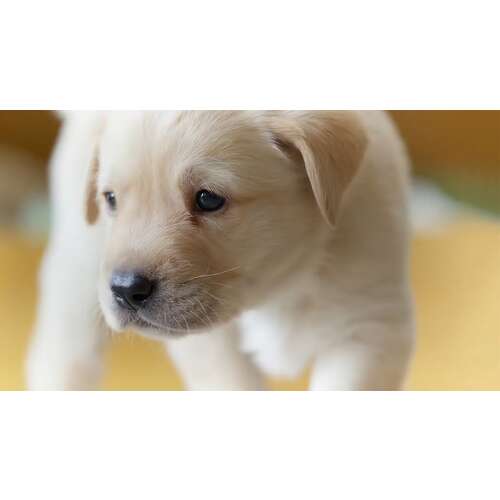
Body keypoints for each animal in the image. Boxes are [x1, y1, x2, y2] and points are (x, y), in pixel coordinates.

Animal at [26, 111, 415, 390]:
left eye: (208, 199)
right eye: (110, 200)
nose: (125, 289)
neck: (281, 287)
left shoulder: (369, 326)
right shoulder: (211, 347)